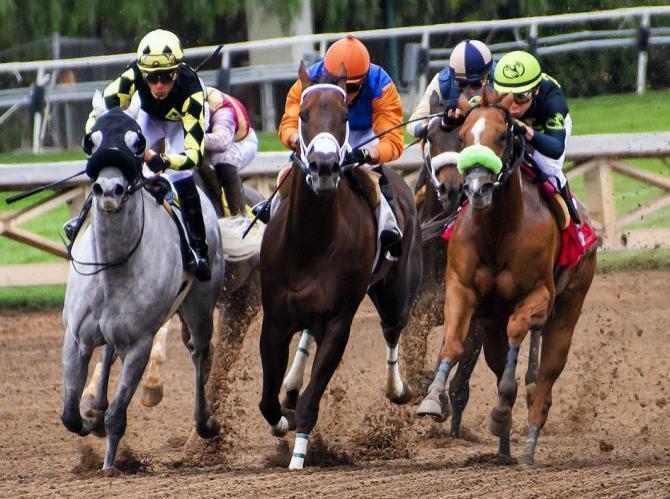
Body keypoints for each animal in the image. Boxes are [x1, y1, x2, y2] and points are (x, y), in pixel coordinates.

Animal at [60, 108, 224, 468]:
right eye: (91, 140)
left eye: (137, 144)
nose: (108, 189)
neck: (113, 268)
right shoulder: (76, 338)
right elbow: (69, 416)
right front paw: (90, 420)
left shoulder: (139, 344)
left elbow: (117, 416)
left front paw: (109, 467)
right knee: (108, 352)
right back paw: (95, 405)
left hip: (199, 307)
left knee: (201, 352)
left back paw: (204, 422)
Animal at [260, 64, 422, 470]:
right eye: (303, 115)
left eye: (345, 116)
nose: (324, 166)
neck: (310, 241)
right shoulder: (274, 320)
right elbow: (268, 402)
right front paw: (281, 420)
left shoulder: (338, 322)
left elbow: (310, 402)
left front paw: (298, 459)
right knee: (306, 338)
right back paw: (290, 384)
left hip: (396, 292)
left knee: (392, 328)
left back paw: (397, 388)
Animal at [420, 98, 600, 468]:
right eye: (462, 136)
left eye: (503, 136)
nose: (475, 188)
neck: (499, 230)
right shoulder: (461, 290)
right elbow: (452, 343)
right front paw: (431, 398)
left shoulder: (539, 296)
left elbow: (518, 335)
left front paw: (502, 407)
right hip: (491, 326)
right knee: (502, 362)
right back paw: (503, 447)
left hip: (568, 308)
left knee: (544, 381)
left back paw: (527, 448)